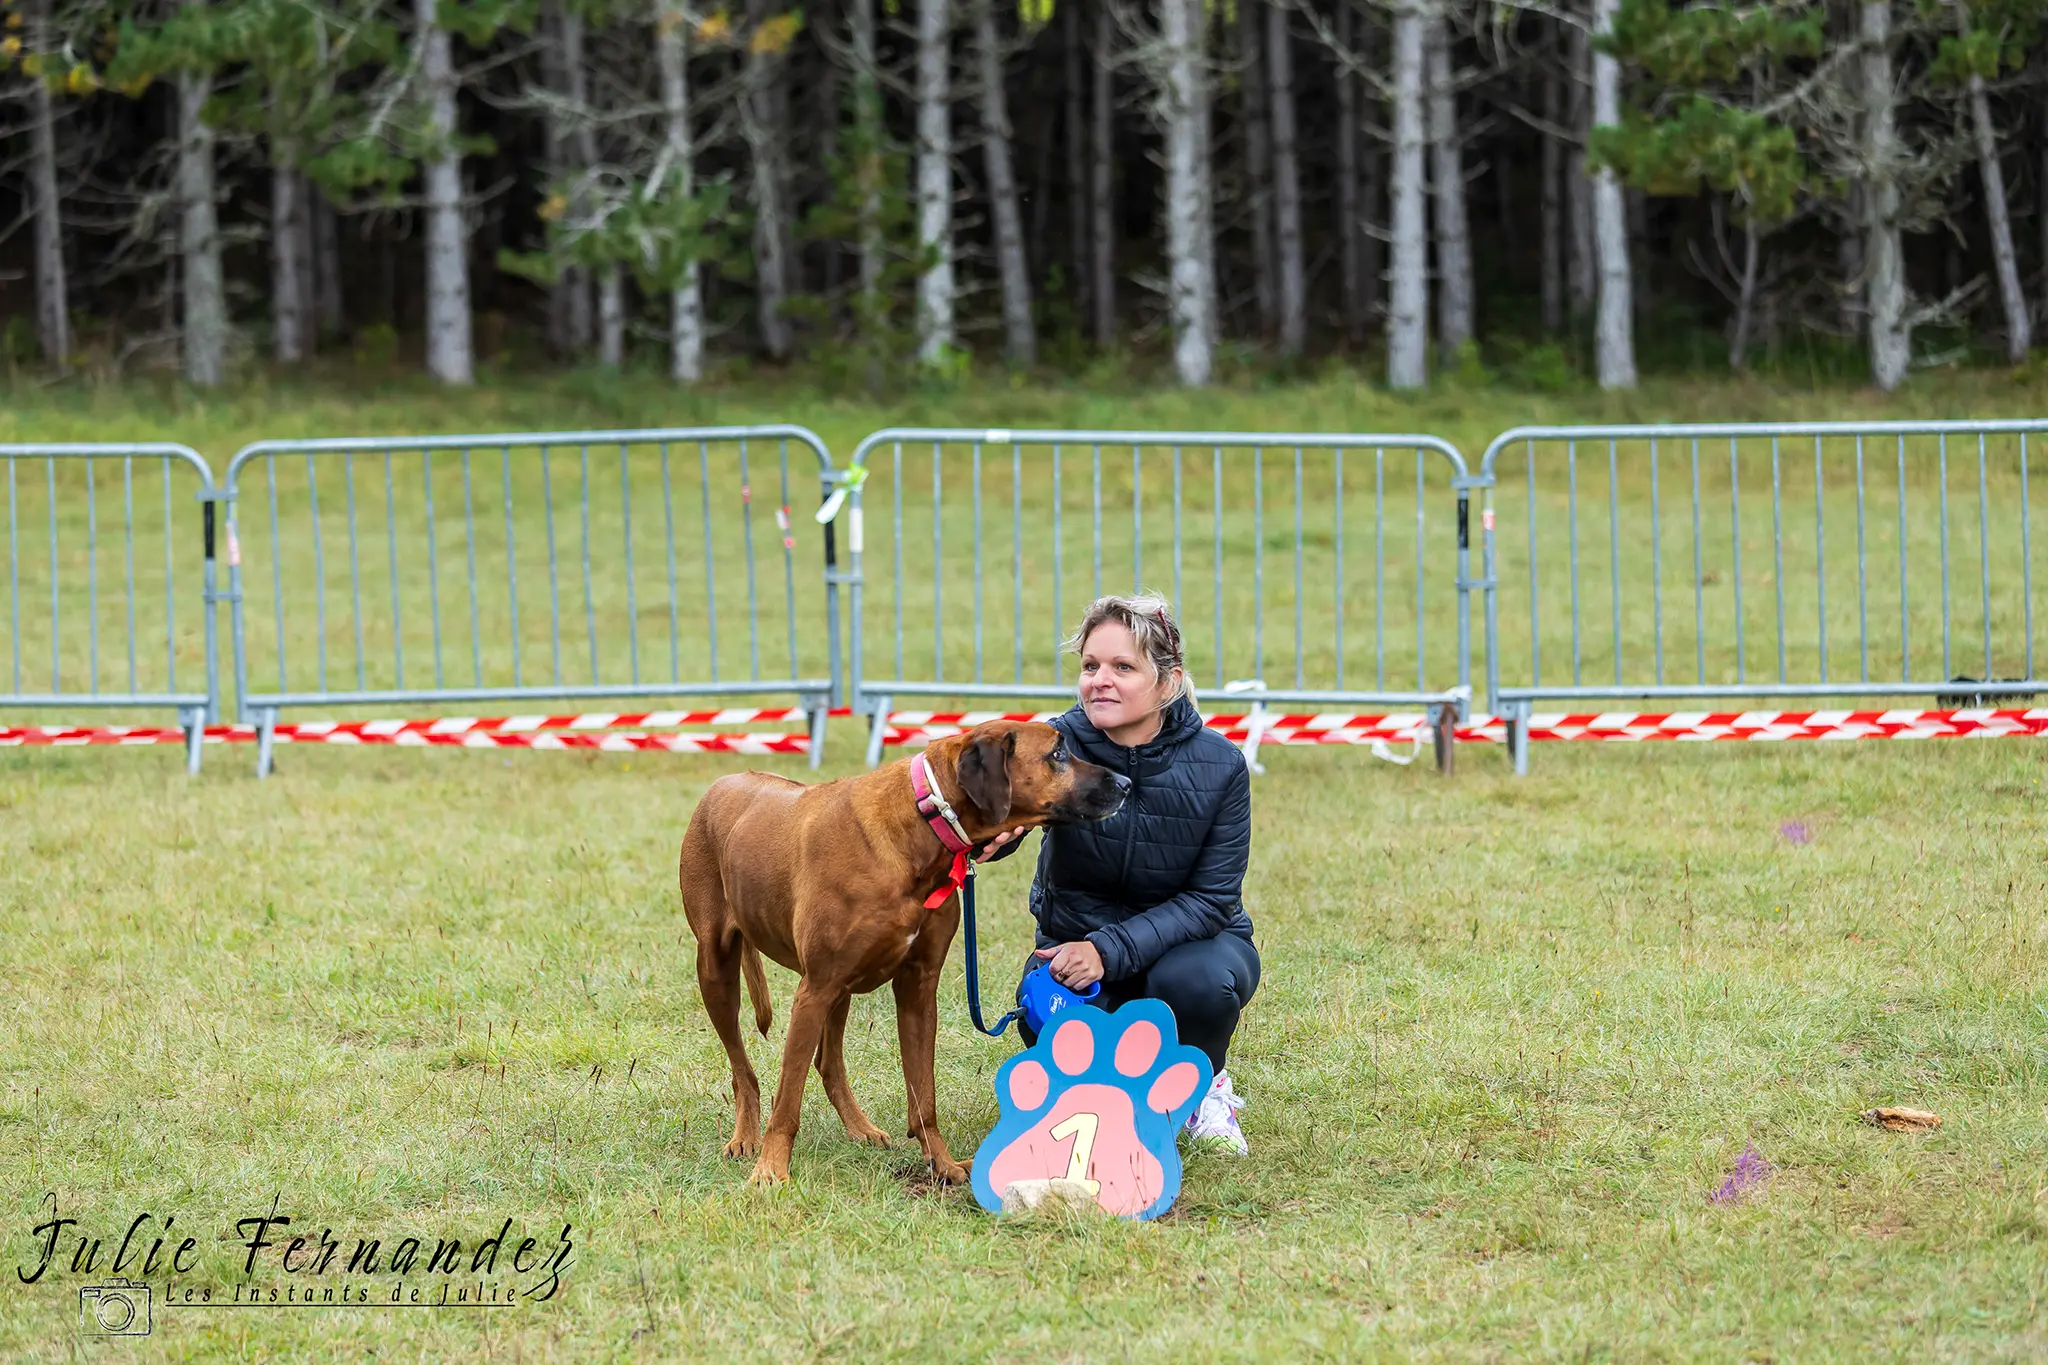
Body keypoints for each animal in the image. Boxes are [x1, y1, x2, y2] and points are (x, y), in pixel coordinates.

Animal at [679, 724, 1130, 1186]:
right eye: (1057, 753)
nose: (1126, 784)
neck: (924, 822)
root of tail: (722, 783)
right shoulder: (815, 987)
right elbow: (786, 1101)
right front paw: (770, 1171)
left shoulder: (917, 987)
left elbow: (923, 1096)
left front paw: (943, 1164)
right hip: (717, 968)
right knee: (743, 1070)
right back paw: (745, 1136)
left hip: (840, 990)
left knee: (828, 1063)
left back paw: (858, 1126)